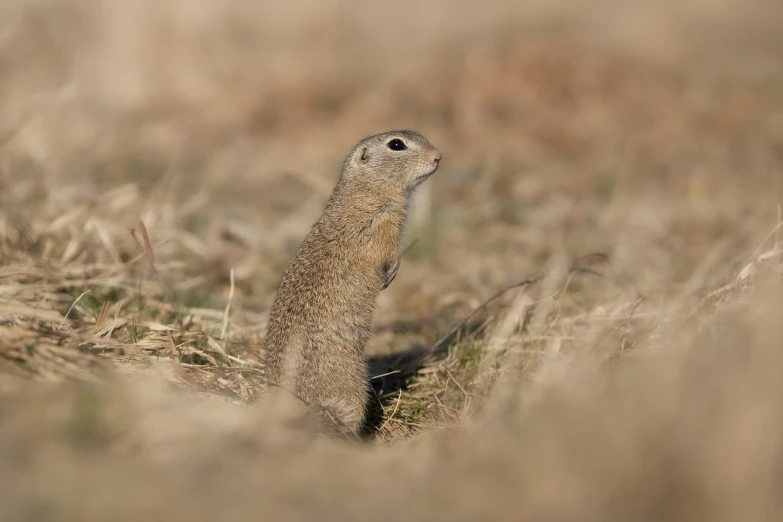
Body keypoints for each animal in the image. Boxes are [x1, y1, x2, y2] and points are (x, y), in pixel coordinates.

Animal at [264, 129, 440, 434]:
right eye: (396, 144)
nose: (438, 156)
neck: (366, 191)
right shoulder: (378, 231)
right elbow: (389, 253)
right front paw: (391, 273)